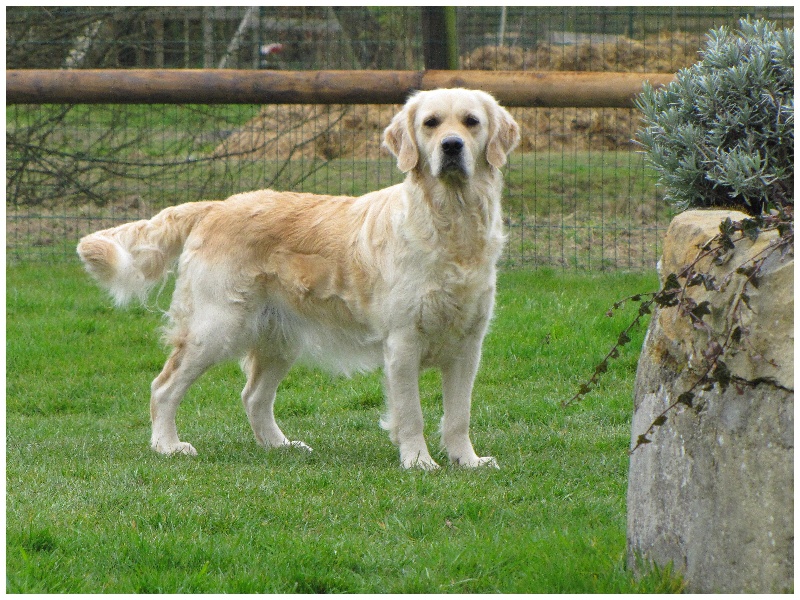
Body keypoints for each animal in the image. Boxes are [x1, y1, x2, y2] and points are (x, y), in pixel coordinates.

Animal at [78, 88, 520, 468]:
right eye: (431, 123)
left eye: (471, 122)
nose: (451, 146)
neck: (452, 224)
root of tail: (215, 205)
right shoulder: (403, 340)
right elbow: (411, 414)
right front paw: (419, 462)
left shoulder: (468, 345)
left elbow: (458, 415)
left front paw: (468, 461)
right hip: (216, 327)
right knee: (163, 387)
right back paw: (168, 446)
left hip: (278, 336)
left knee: (253, 396)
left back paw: (281, 446)